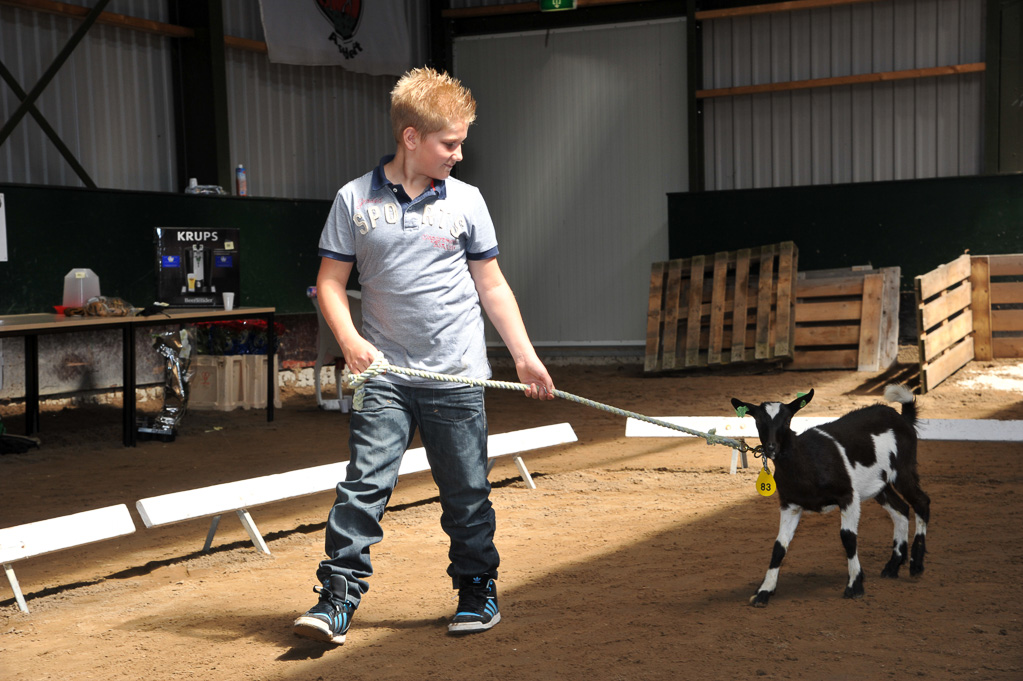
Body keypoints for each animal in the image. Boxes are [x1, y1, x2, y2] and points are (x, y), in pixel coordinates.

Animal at [732, 382, 932, 605]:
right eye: (758, 421)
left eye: (787, 420)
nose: (771, 447)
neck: (806, 458)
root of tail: (903, 417)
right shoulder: (790, 504)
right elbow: (779, 546)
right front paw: (764, 592)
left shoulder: (848, 496)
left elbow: (848, 537)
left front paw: (854, 585)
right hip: (880, 484)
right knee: (901, 510)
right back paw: (892, 566)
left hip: (903, 469)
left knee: (921, 502)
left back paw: (915, 565)